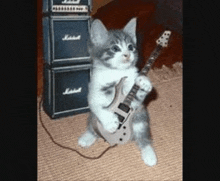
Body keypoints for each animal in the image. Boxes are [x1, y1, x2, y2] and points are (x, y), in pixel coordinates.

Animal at [78, 17, 157, 166]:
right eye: (115, 48)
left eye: (131, 47)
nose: (127, 55)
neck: (116, 73)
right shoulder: (94, 90)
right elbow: (97, 105)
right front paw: (110, 122)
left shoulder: (135, 103)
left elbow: (138, 95)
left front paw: (144, 82)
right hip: (92, 117)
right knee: (92, 125)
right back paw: (87, 137)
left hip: (140, 117)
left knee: (142, 134)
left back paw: (149, 153)